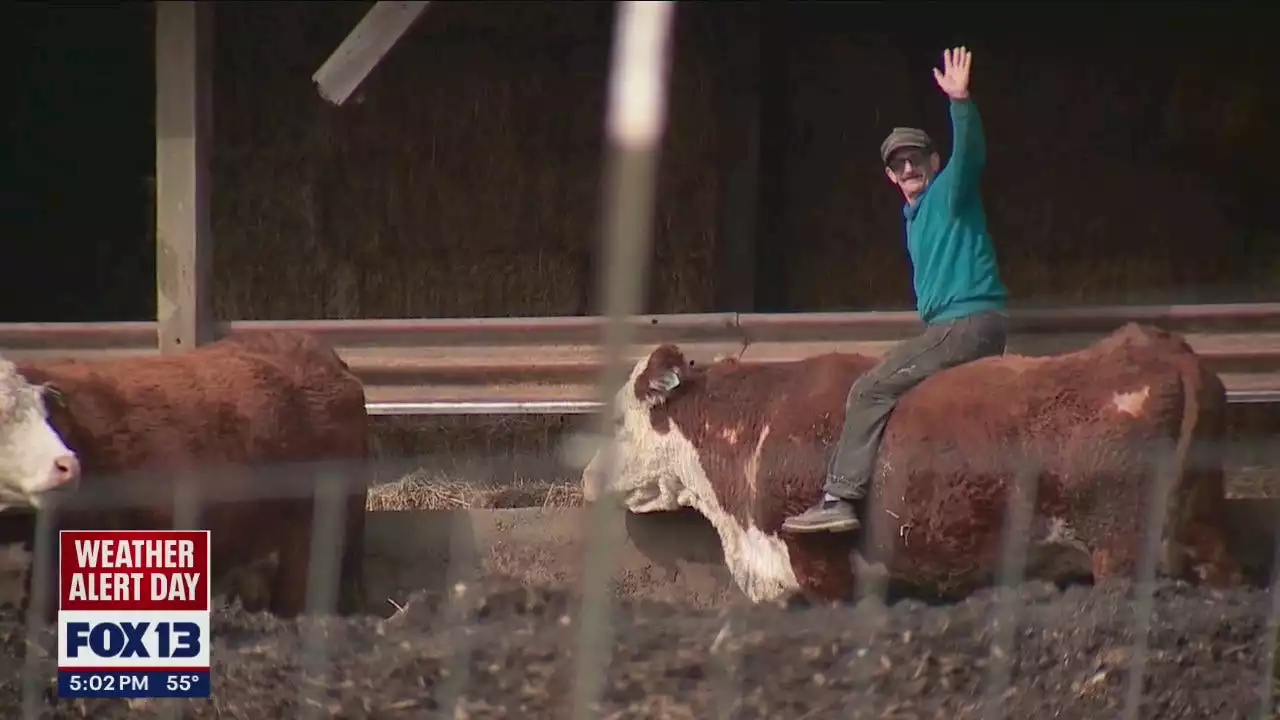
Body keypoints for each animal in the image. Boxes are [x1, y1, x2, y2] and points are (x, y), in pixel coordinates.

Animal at [581, 322, 1239, 602]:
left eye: (616, 419)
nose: (586, 478)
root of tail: (1157, 344)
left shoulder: (823, 568)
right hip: (1200, 524)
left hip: (1120, 546)